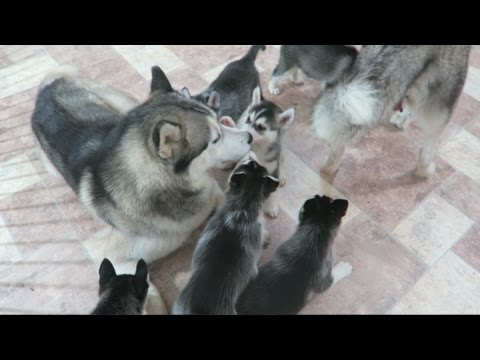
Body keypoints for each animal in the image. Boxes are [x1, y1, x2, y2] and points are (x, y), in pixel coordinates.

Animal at [31, 66, 253, 314]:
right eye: (215, 140)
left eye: (217, 125)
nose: (250, 137)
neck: (171, 188)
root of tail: (46, 87)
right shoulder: (110, 256)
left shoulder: (211, 190)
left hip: (126, 107)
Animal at [237, 86, 296, 219]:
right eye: (248, 119)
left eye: (261, 127)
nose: (243, 134)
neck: (258, 148)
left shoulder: (272, 167)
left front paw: (271, 206)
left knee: (281, 159)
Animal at [312, 45, 472, 179]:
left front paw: (402, 118)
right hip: (445, 97)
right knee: (427, 149)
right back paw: (425, 170)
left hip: (364, 67)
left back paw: (329, 167)